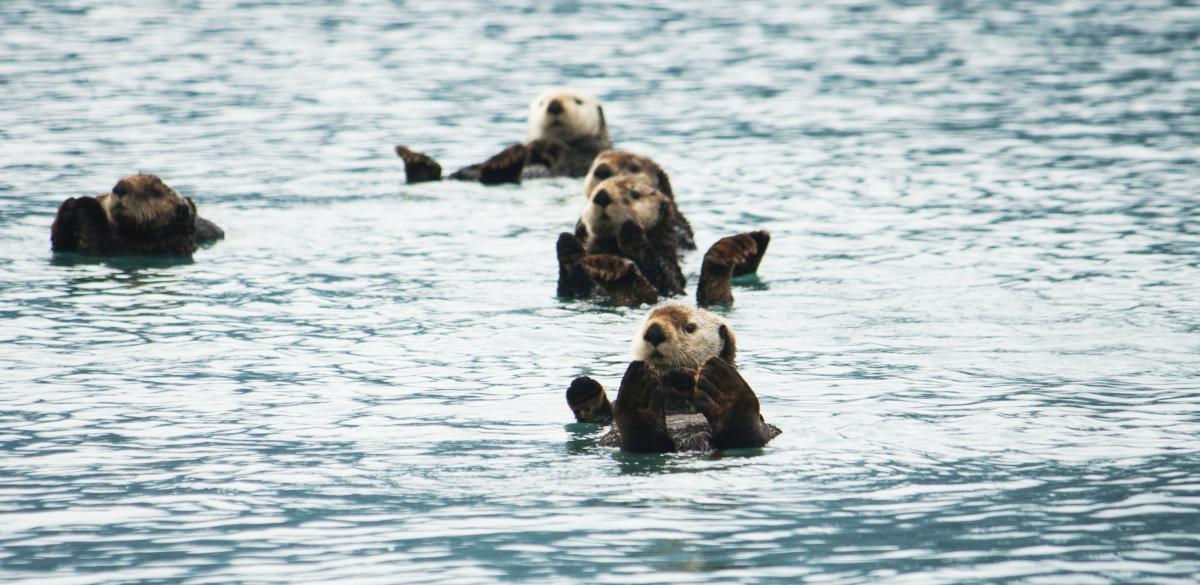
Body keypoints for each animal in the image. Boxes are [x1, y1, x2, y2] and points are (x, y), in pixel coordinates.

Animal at [398, 87, 614, 184]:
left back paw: (503, 163)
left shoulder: (588, 154)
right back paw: (416, 161)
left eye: (578, 101)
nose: (554, 105)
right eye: (542, 103)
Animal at [566, 304, 782, 455]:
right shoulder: (607, 416)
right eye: (646, 323)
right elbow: (598, 415)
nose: (654, 331)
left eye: (690, 327)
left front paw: (683, 377)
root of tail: (693, 442)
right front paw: (583, 389)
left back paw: (724, 388)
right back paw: (639, 394)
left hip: (768, 431)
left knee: (747, 435)